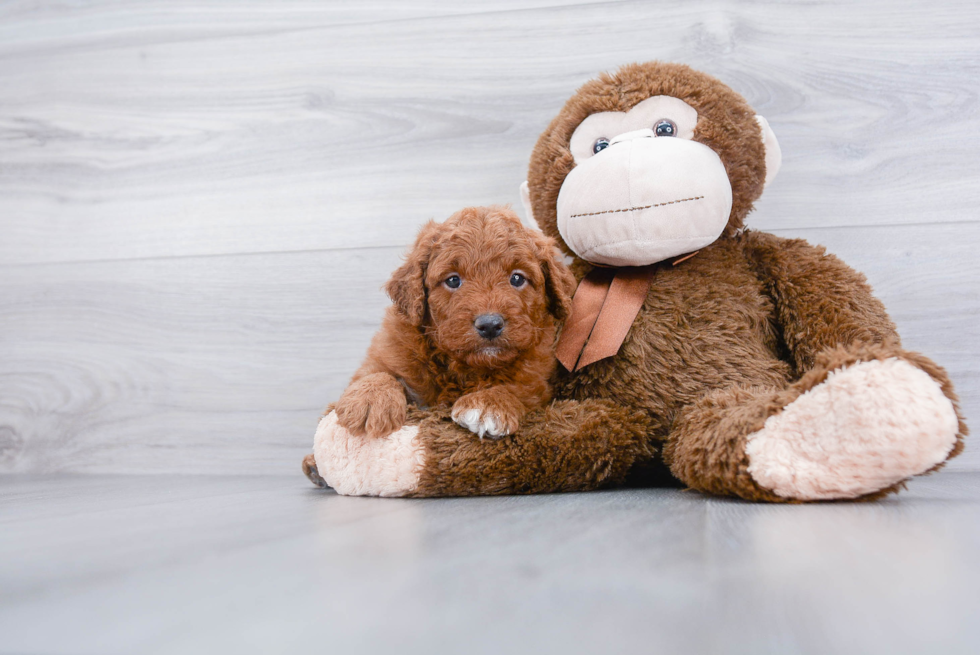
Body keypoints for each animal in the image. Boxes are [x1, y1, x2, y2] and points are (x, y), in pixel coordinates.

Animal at [334, 205, 580, 440]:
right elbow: (377, 372)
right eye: (453, 280)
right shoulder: (391, 351)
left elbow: (516, 389)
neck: (464, 367)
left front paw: (489, 404)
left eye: (517, 278)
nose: (490, 325)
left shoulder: (535, 380)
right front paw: (370, 399)